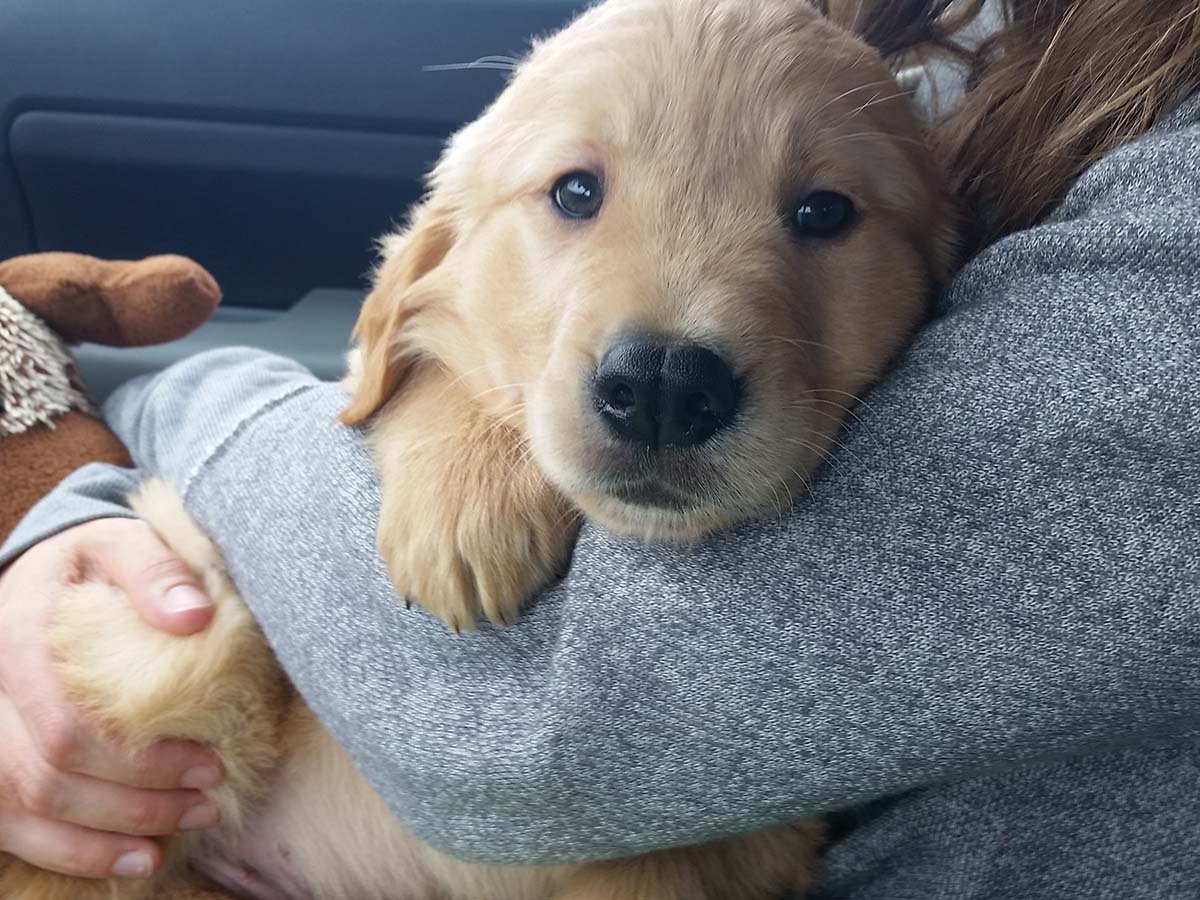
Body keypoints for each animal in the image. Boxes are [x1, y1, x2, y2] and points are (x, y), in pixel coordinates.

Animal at [0, 0, 955, 897]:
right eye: (575, 192)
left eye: (824, 211)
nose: (664, 387)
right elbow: (417, 367)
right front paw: (465, 502)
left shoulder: (732, 849)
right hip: (174, 643)